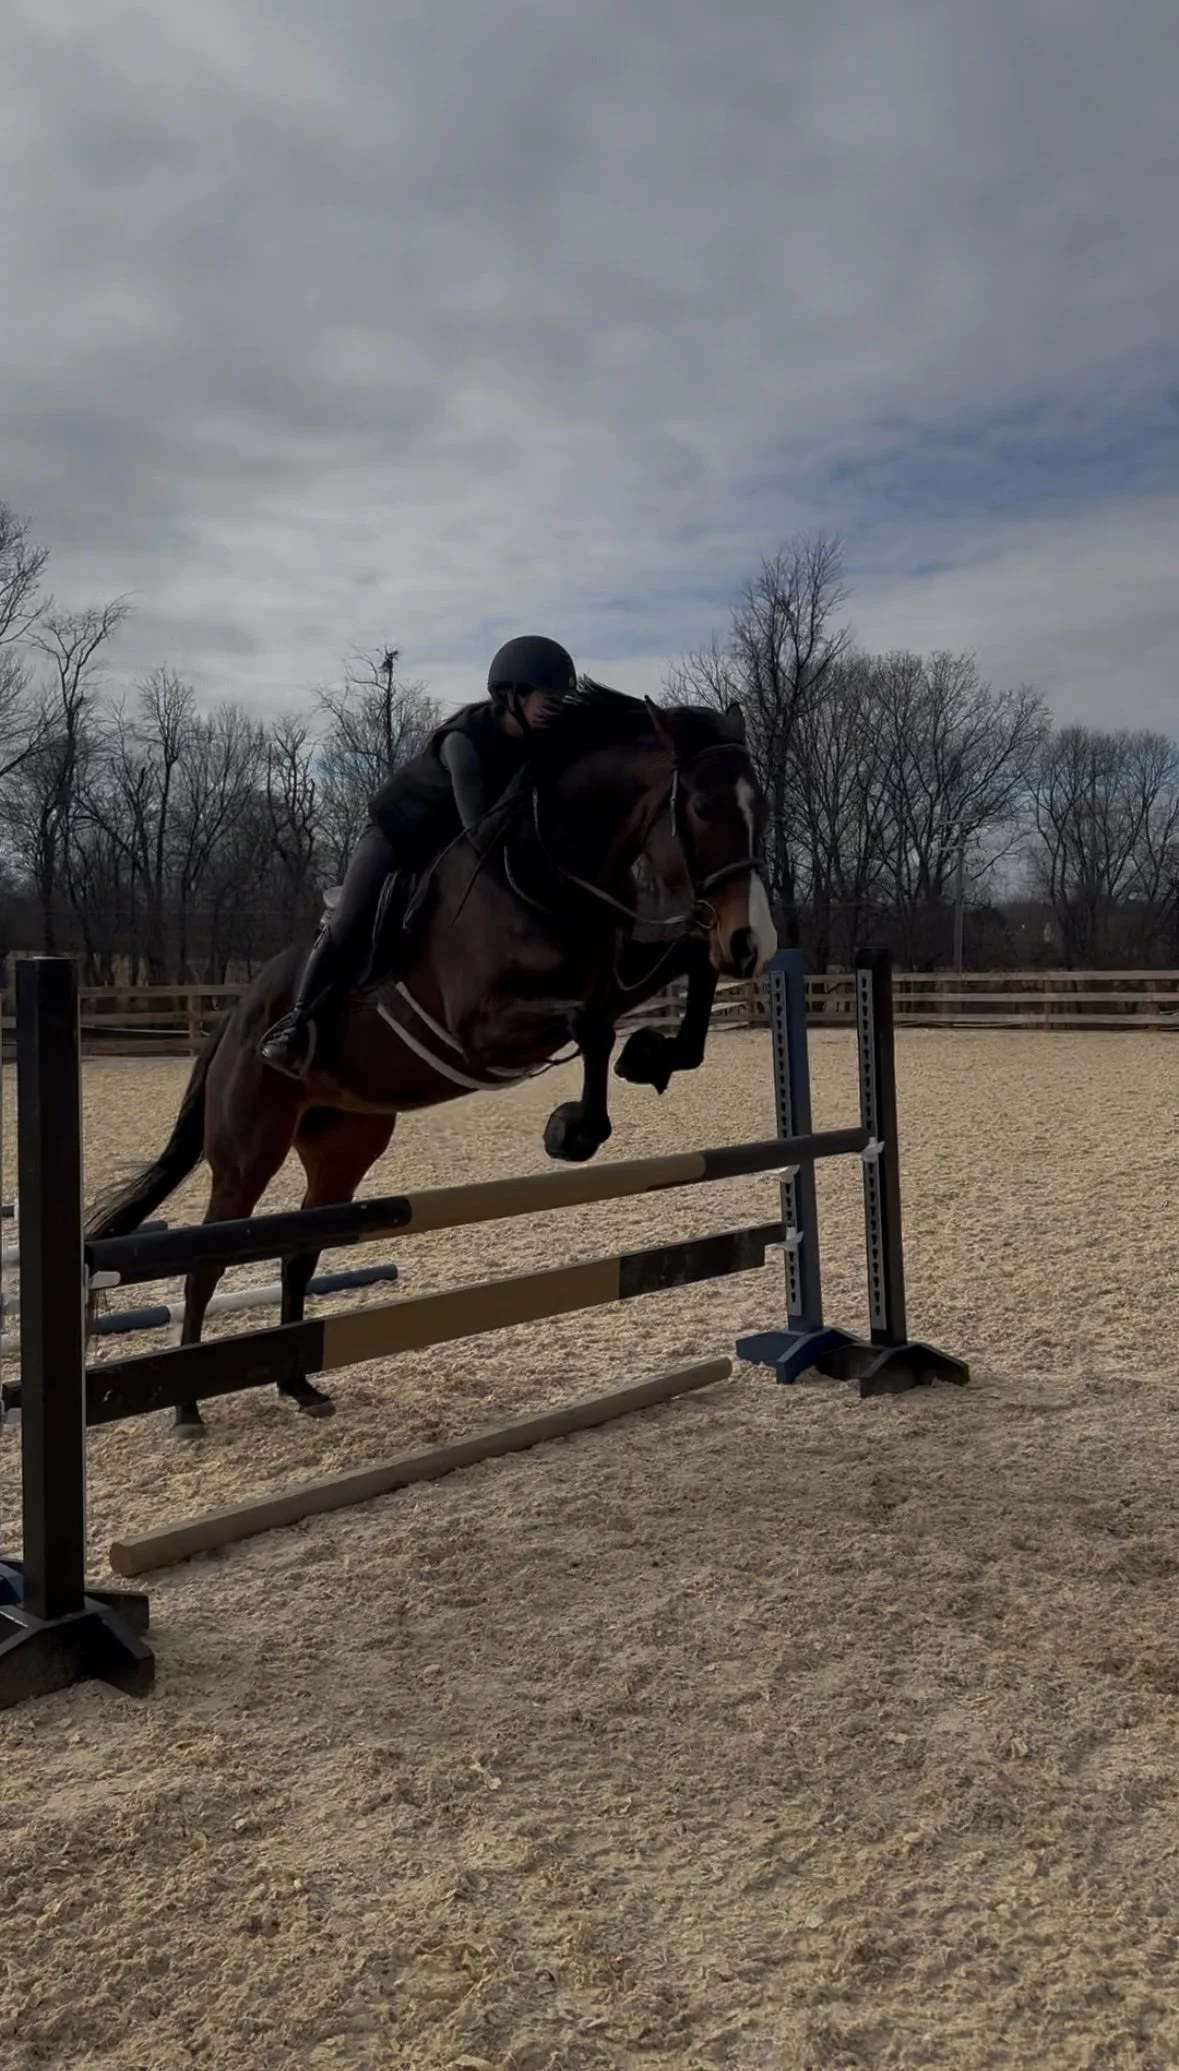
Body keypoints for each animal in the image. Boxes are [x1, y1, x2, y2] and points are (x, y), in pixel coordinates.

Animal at [87, 685, 775, 1435]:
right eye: (702, 808)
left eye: (761, 806)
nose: (751, 942)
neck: (553, 865)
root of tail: (232, 1024)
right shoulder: (483, 1027)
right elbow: (592, 1030)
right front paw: (574, 1130)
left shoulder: (615, 978)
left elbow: (688, 971)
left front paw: (652, 1056)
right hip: (246, 1154)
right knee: (205, 1264)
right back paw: (185, 1408)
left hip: (342, 1150)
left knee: (299, 1252)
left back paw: (298, 1384)